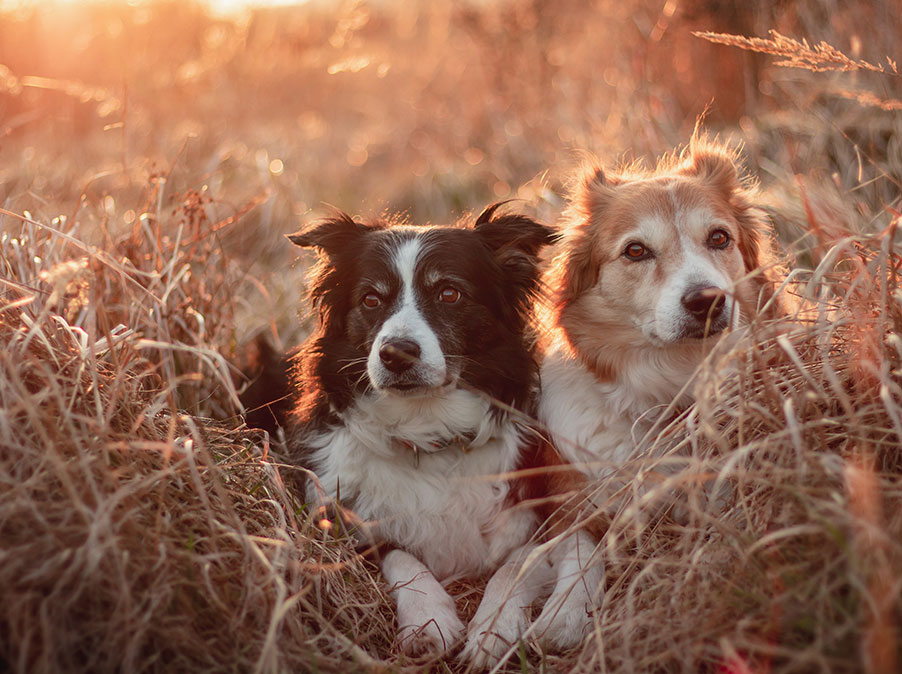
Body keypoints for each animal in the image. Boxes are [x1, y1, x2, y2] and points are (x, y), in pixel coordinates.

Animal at [286, 203, 560, 660]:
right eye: (371, 299)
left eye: (449, 293)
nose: (396, 354)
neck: (429, 430)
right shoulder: (345, 521)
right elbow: (402, 556)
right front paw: (428, 622)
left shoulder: (536, 519)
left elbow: (514, 568)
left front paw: (494, 630)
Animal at [528, 136, 784, 644]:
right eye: (636, 251)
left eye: (719, 238)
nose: (707, 301)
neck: (669, 382)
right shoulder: (572, 498)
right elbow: (579, 553)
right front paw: (563, 614)